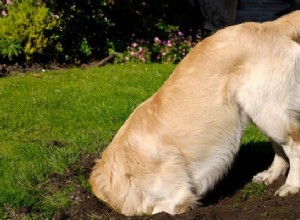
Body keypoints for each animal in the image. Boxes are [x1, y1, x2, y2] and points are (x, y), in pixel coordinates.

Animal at [90, 11, 300, 216]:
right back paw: (270, 175)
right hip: (262, 110)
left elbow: (162, 209)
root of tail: (268, 26)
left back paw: (291, 186)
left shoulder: (177, 197)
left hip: (267, 110)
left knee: (294, 146)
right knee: (279, 147)